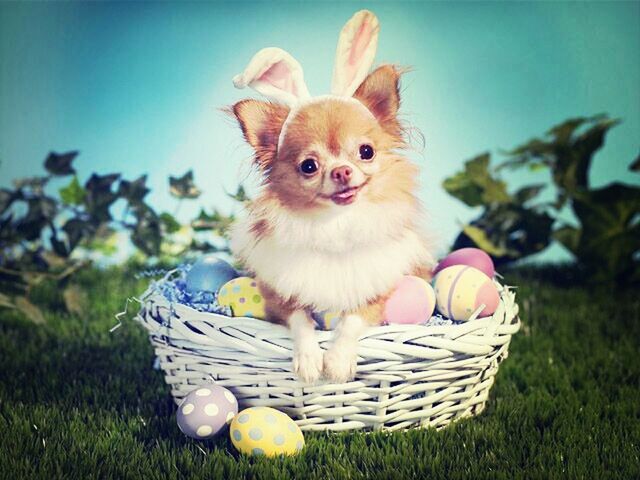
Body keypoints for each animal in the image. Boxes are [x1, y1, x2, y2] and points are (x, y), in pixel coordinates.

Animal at [228, 10, 432, 382]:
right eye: (309, 166)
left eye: (366, 151)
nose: (341, 171)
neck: (335, 224)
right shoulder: (278, 296)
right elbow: (301, 320)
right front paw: (309, 359)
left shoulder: (379, 295)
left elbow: (351, 320)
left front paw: (337, 361)